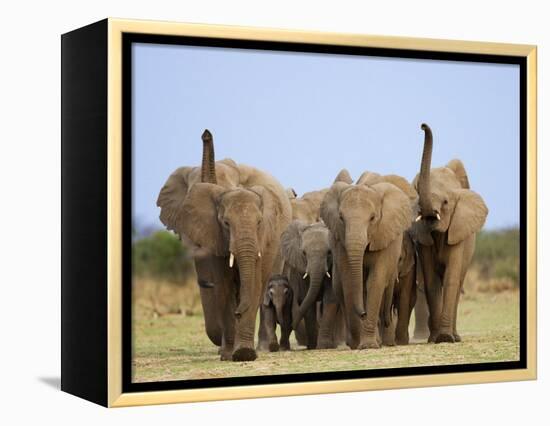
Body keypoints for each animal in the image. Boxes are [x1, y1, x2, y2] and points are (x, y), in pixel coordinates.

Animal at [156, 129, 294, 360]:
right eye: (225, 223)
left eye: (259, 222)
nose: (206, 134)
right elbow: (223, 286)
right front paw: (230, 354)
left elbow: (253, 284)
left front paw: (244, 353)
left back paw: (263, 348)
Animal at [322, 175, 416, 348]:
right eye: (341, 218)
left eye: (372, 218)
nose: (363, 313)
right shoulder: (340, 241)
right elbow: (349, 281)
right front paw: (360, 344)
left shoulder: (383, 236)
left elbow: (375, 280)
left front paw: (368, 346)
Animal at [414, 123, 492, 342]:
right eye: (416, 195)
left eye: (446, 202)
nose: (422, 125)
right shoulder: (423, 239)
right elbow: (431, 281)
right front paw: (436, 339)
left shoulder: (458, 231)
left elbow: (451, 278)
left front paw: (445, 338)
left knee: (458, 283)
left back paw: (455, 337)